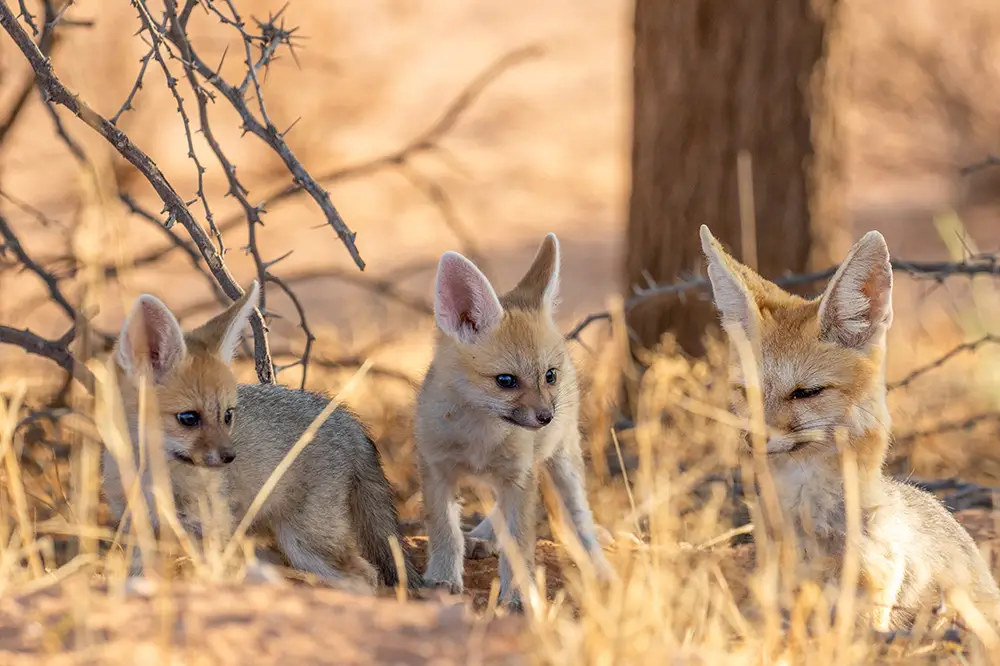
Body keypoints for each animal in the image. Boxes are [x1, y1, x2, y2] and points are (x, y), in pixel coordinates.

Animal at [104, 280, 422, 592]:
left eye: (227, 415)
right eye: (188, 418)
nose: (230, 457)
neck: (155, 479)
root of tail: (342, 415)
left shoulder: (212, 530)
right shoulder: (139, 529)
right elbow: (138, 575)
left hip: (305, 541)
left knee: (366, 576)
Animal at [414, 233, 608, 608]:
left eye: (549, 376)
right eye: (506, 381)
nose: (546, 417)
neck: (479, 436)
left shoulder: (520, 475)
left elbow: (519, 543)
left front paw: (518, 594)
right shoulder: (435, 469)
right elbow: (444, 530)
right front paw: (443, 578)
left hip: (562, 459)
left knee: (580, 515)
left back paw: (598, 562)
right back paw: (482, 537)